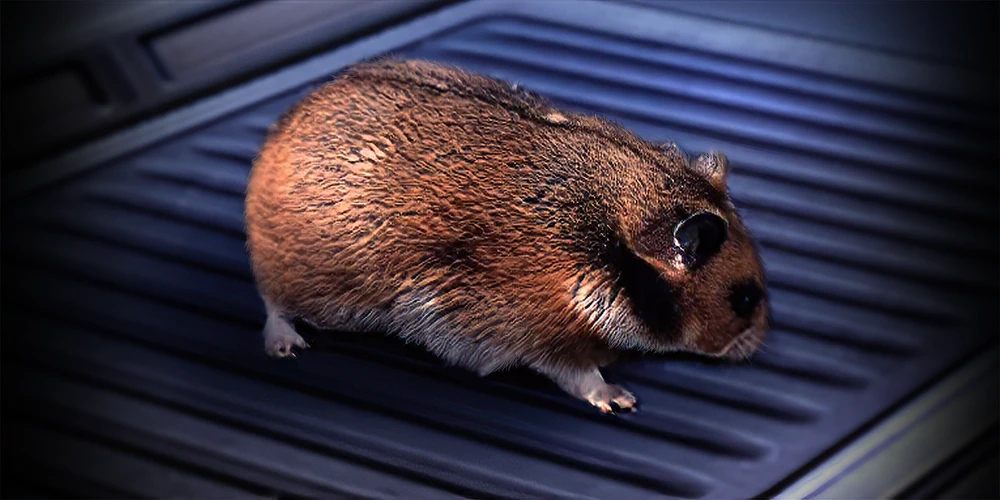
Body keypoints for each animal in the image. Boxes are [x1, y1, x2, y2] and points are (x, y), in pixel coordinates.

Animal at [244, 59, 768, 413]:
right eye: (744, 300)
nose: (759, 347)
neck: (614, 240)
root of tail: (276, 134)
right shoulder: (535, 330)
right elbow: (579, 373)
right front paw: (621, 398)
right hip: (310, 285)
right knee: (272, 302)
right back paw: (285, 345)